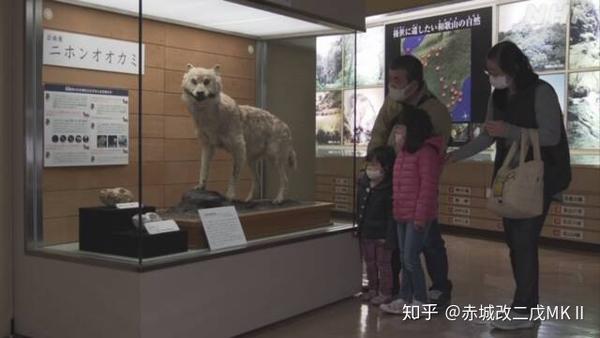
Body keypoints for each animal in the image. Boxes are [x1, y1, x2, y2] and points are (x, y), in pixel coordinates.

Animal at [182, 65, 296, 203]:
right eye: (194, 81)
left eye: (206, 81)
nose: (200, 93)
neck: (209, 117)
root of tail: (286, 127)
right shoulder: (207, 146)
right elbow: (203, 169)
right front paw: (201, 186)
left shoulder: (238, 148)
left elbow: (233, 176)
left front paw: (230, 195)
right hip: (251, 161)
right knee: (257, 182)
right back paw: (249, 201)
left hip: (275, 159)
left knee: (285, 180)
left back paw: (278, 199)